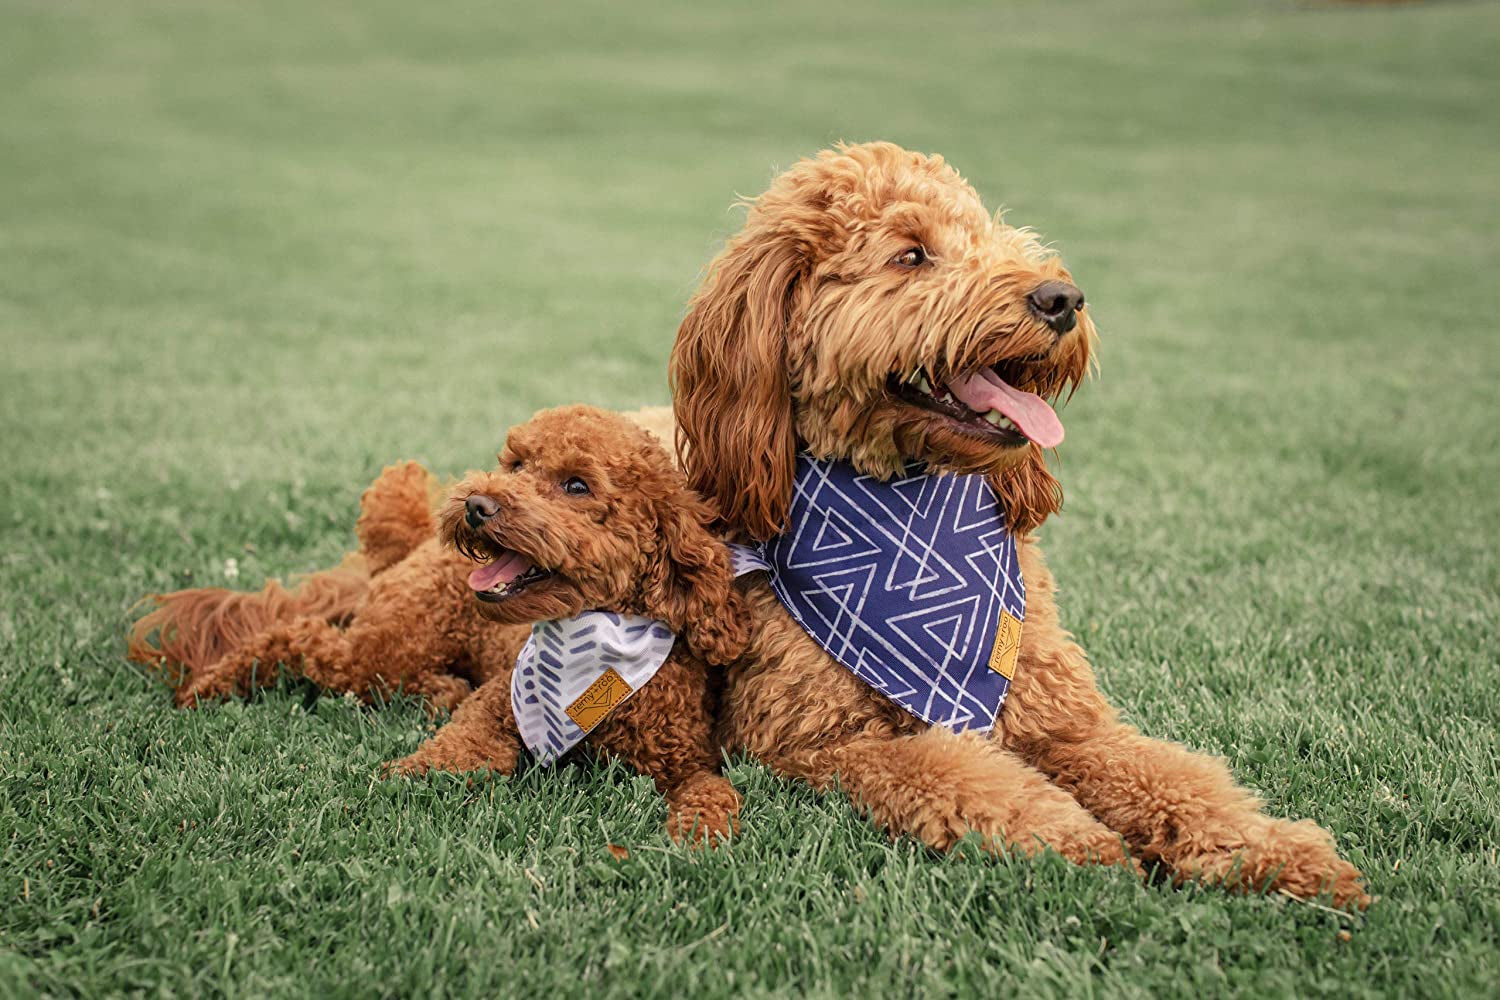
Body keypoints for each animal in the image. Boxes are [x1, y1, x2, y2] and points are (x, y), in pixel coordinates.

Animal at [663, 142, 1368, 905]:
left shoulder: (1063, 719)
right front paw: (1080, 842)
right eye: (911, 255)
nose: (1062, 299)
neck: (914, 521)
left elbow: (1172, 775)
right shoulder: (823, 742)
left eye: (990, 234)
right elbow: (961, 774)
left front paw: (1270, 848)